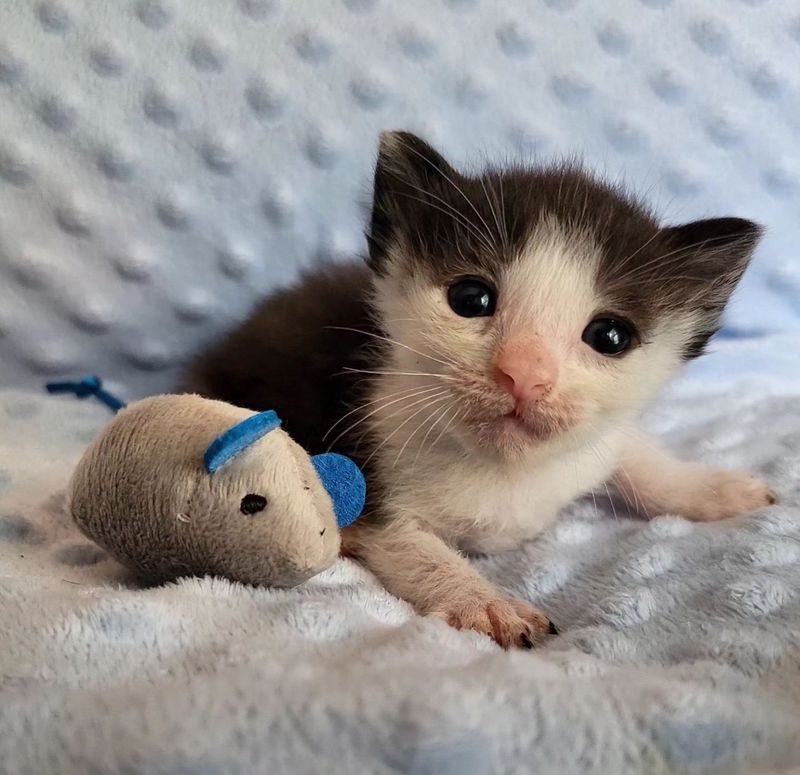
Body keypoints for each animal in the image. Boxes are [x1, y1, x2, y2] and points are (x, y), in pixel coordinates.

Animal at [186, 132, 776, 648]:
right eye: (471, 298)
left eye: (610, 336)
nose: (524, 374)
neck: (504, 472)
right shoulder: (364, 460)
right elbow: (410, 544)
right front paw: (488, 604)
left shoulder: (596, 437)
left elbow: (632, 453)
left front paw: (712, 489)